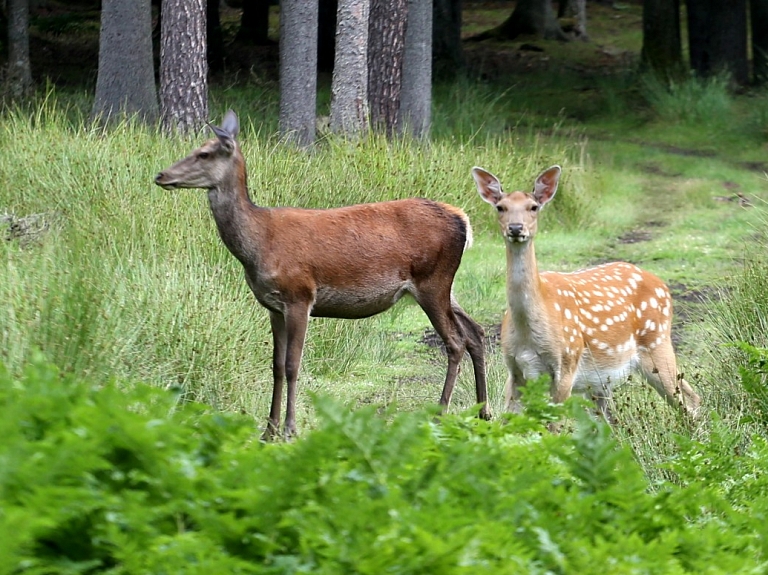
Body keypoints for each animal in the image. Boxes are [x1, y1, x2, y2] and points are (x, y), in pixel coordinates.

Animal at [153, 109, 488, 440]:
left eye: (204, 153)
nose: (161, 175)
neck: (258, 245)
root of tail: (463, 220)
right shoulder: (273, 306)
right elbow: (276, 365)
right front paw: (268, 430)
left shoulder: (299, 295)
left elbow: (292, 365)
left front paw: (290, 429)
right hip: (445, 286)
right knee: (475, 332)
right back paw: (483, 412)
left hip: (432, 280)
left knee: (456, 341)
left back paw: (440, 414)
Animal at [472, 164, 700, 420]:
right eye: (501, 207)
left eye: (533, 207)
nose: (515, 228)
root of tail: (663, 286)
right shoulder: (515, 370)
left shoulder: (567, 364)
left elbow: (552, 425)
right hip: (602, 381)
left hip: (656, 342)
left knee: (689, 399)